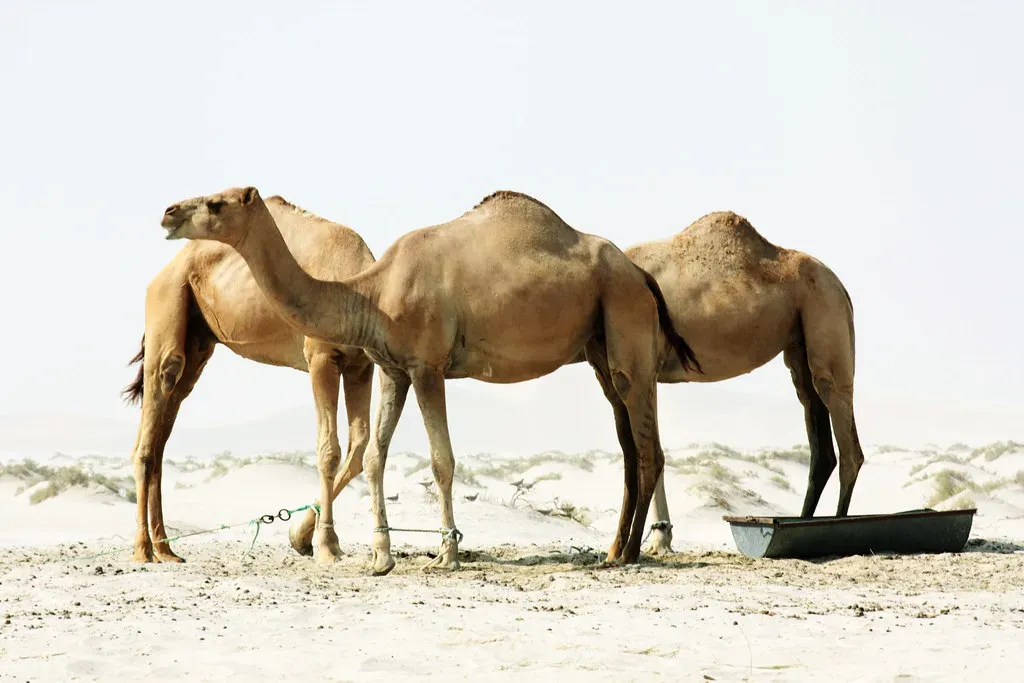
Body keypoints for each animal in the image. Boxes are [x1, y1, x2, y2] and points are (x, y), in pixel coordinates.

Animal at [123, 195, 377, 564]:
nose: (170, 211)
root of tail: (164, 273)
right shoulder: (320, 358)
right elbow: (328, 450)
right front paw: (326, 546)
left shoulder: (361, 365)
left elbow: (358, 449)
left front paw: (301, 538)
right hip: (167, 307)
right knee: (149, 429)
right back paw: (143, 550)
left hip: (198, 345)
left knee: (161, 437)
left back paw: (166, 549)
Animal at [159, 186, 701, 574]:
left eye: (217, 201)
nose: (168, 213)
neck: (372, 293)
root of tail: (640, 274)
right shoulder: (394, 368)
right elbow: (375, 456)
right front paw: (380, 557)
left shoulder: (427, 366)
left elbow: (442, 460)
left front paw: (448, 553)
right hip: (599, 347)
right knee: (629, 443)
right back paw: (611, 550)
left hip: (626, 319)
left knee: (648, 447)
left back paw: (630, 554)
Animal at [622, 211, 864, 555]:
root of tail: (842, 287)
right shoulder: (646, 372)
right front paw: (660, 539)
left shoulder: (644, 366)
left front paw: (659, 542)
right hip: (799, 346)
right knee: (819, 437)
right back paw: (798, 523)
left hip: (826, 315)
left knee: (847, 442)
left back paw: (836, 528)